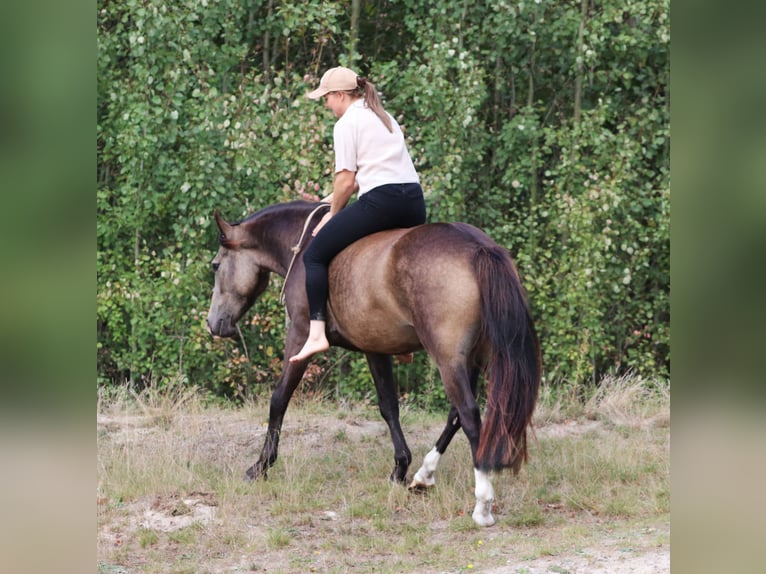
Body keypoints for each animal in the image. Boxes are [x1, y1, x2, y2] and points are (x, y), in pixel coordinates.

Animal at [206, 200, 541, 527]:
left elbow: (279, 400)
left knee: (470, 416)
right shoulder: (376, 348)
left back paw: (482, 503)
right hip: (470, 359)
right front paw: (400, 468)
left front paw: (261, 465)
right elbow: (388, 406)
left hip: (449, 360)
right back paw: (424, 474)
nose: (213, 323)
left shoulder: (299, 337)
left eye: (216, 265)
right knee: (456, 415)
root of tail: (477, 247)